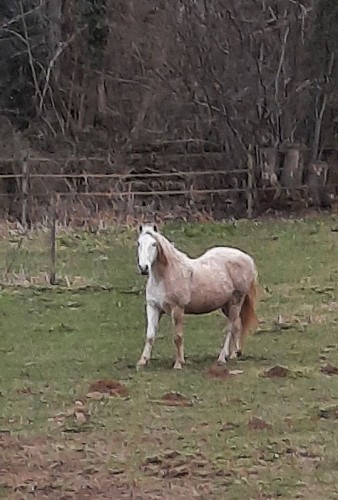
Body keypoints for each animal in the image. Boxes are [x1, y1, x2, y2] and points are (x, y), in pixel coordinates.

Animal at [136, 225, 258, 370]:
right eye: (138, 243)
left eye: (154, 244)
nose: (144, 268)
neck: (165, 276)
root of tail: (248, 259)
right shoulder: (153, 307)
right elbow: (150, 335)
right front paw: (142, 361)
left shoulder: (177, 309)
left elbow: (177, 336)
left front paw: (178, 363)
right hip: (226, 306)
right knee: (237, 325)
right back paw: (233, 354)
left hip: (236, 301)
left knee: (231, 327)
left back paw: (222, 357)